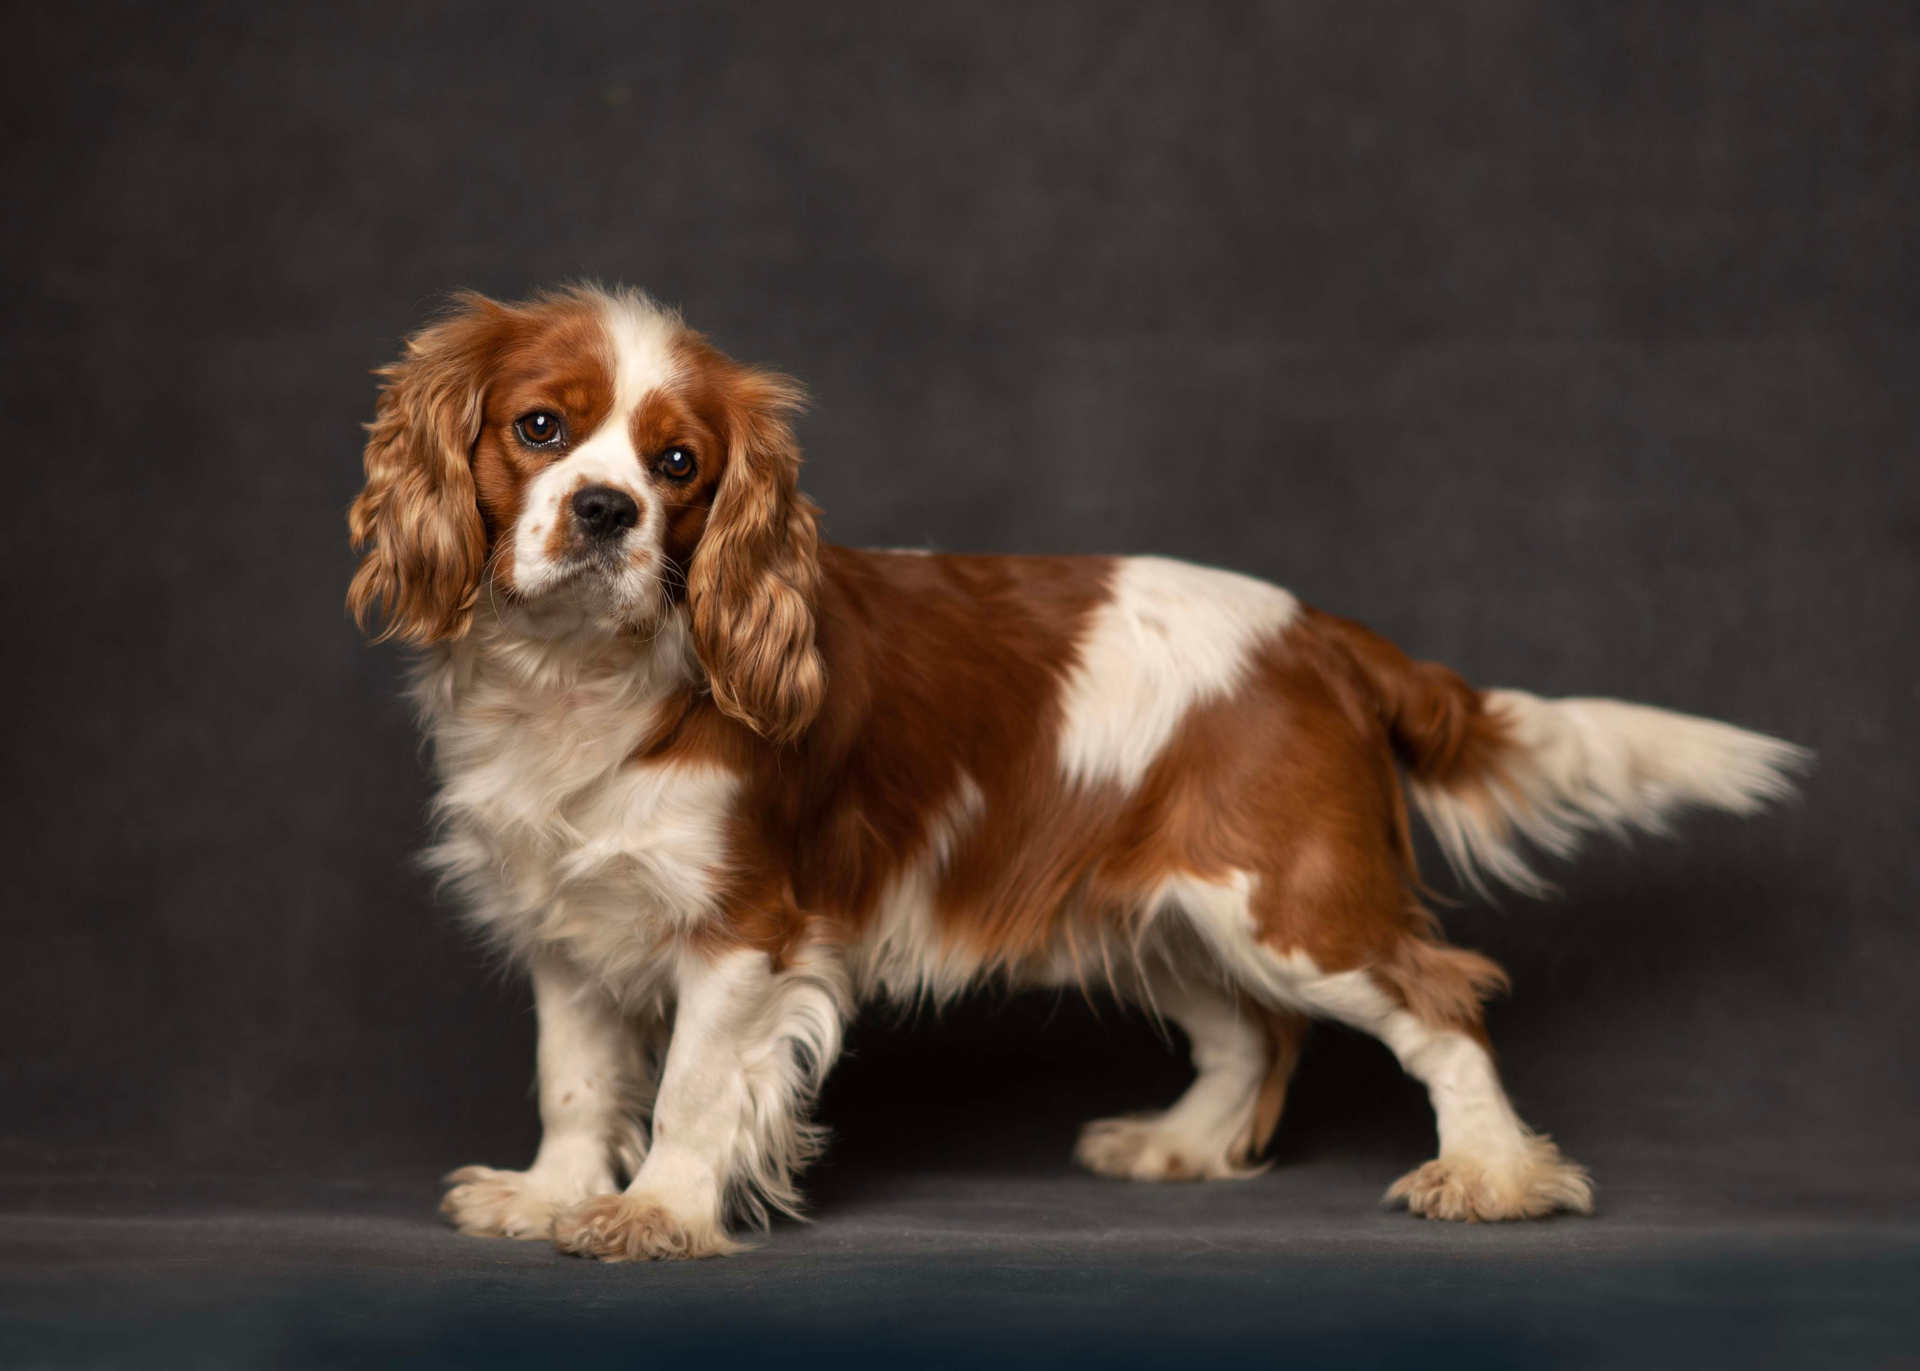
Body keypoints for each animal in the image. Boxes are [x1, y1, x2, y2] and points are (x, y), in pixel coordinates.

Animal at [349, 282, 1812, 1251]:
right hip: (1158, 917)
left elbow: (695, 1086)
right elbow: (578, 1077)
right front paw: (548, 1195)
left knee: (1439, 998)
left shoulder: (745, 929)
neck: (583, 679)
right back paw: (1183, 1145)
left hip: (1289, 903)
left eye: (678, 464)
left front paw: (654, 1211)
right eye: (540, 429)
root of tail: (1323, 632)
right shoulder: (567, 924)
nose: (608, 512)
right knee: (1252, 1034)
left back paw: (1496, 1174)